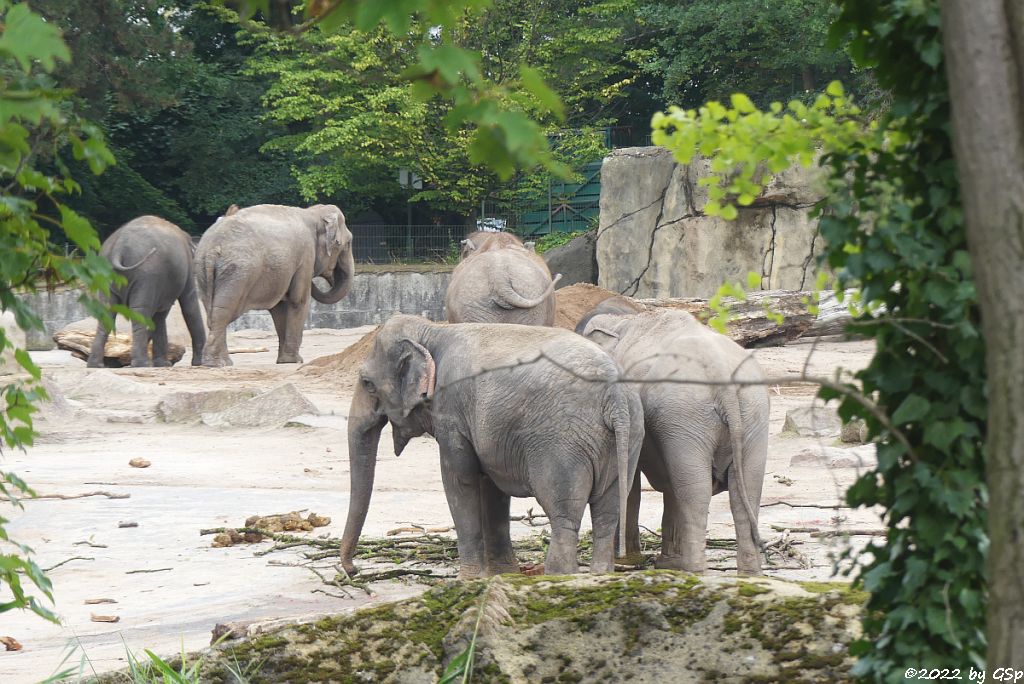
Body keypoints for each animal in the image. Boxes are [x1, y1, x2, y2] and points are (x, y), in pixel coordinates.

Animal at [88, 216, 206, 368]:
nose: (197, 363)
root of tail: (118, 248)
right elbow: (189, 305)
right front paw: (195, 363)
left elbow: (159, 316)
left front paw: (162, 364)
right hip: (146, 274)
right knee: (140, 311)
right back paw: (142, 364)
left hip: (105, 273)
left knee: (107, 312)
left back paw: (96, 365)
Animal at [194, 204, 355, 366]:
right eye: (347, 243)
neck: (311, 212)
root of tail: (212, 249)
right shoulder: (306, 257)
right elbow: (298, 300)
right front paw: (295, 361)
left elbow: (280, 307)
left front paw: (284, 361)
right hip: (237, 273)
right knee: (223, 312)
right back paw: (216, 363)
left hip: (203, 271)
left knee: (212, 311)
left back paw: (223, 362)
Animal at [339, 314, 644, 578]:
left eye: (367, 383)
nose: (354, 571)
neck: (433, 331)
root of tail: (615, 395)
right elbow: (491, 487)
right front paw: (503, 574)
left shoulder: (452, 412)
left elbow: (459, 480)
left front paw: (467, 580)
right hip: (626, 441)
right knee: (608, 513)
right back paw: (600, 576)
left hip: (563, 445)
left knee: (564, 515)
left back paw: (560, 577)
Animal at [578, 308, 770, 575]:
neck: (623, 321)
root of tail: (722, 375)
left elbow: (631, 482)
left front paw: (628, 562)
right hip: (752, 414)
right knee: (746, 492)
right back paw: (749, 574)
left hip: (686, 416)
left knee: (695, 491)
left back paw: (694, 570)